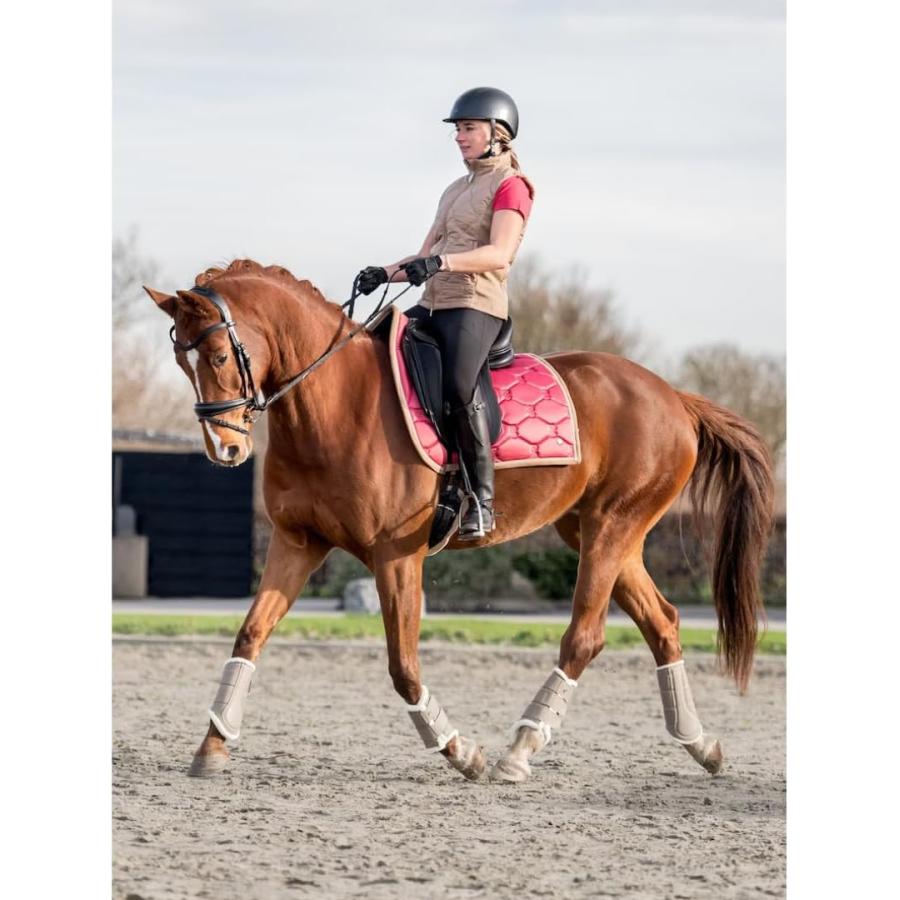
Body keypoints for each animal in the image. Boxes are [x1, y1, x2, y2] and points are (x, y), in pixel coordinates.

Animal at [144, 258, 774, 783]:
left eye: (218, 357)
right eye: (181, 361)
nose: (225, 449)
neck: (333, 404)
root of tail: (673, 396)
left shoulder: (396, 557)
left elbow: (402, 665)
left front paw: (460, 751)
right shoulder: (297, 543)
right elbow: (250, 635)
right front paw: (212, 745)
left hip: (612, 528)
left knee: (584, 638)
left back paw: (519, 751)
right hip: (600, 534)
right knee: (663, 622)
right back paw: (701, 745)